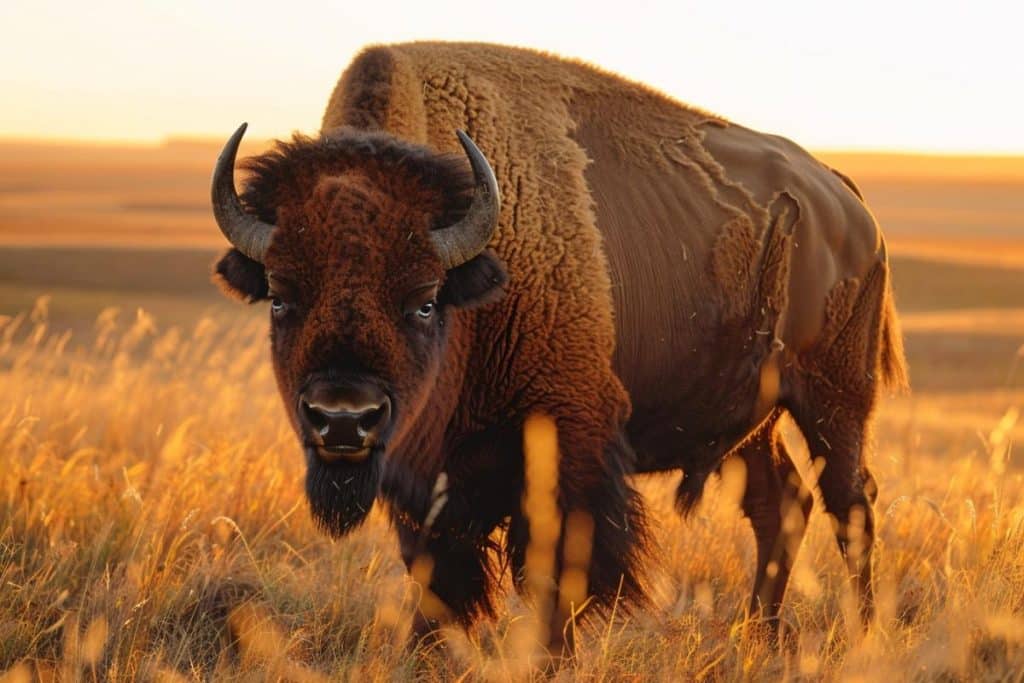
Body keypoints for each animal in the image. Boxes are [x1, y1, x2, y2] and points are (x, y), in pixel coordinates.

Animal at [211, 42, 907, 651]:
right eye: (280, 297)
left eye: (425, 300)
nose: (342, 420)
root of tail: (845, 200)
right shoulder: (422, 483)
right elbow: (436, 578)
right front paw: (424, 651)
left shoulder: (566, 447)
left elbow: (556, 577)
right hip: (751, 420)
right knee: (780, 504)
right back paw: (757, 636)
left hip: (835, 399)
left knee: (851, 503)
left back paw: (862, 635)